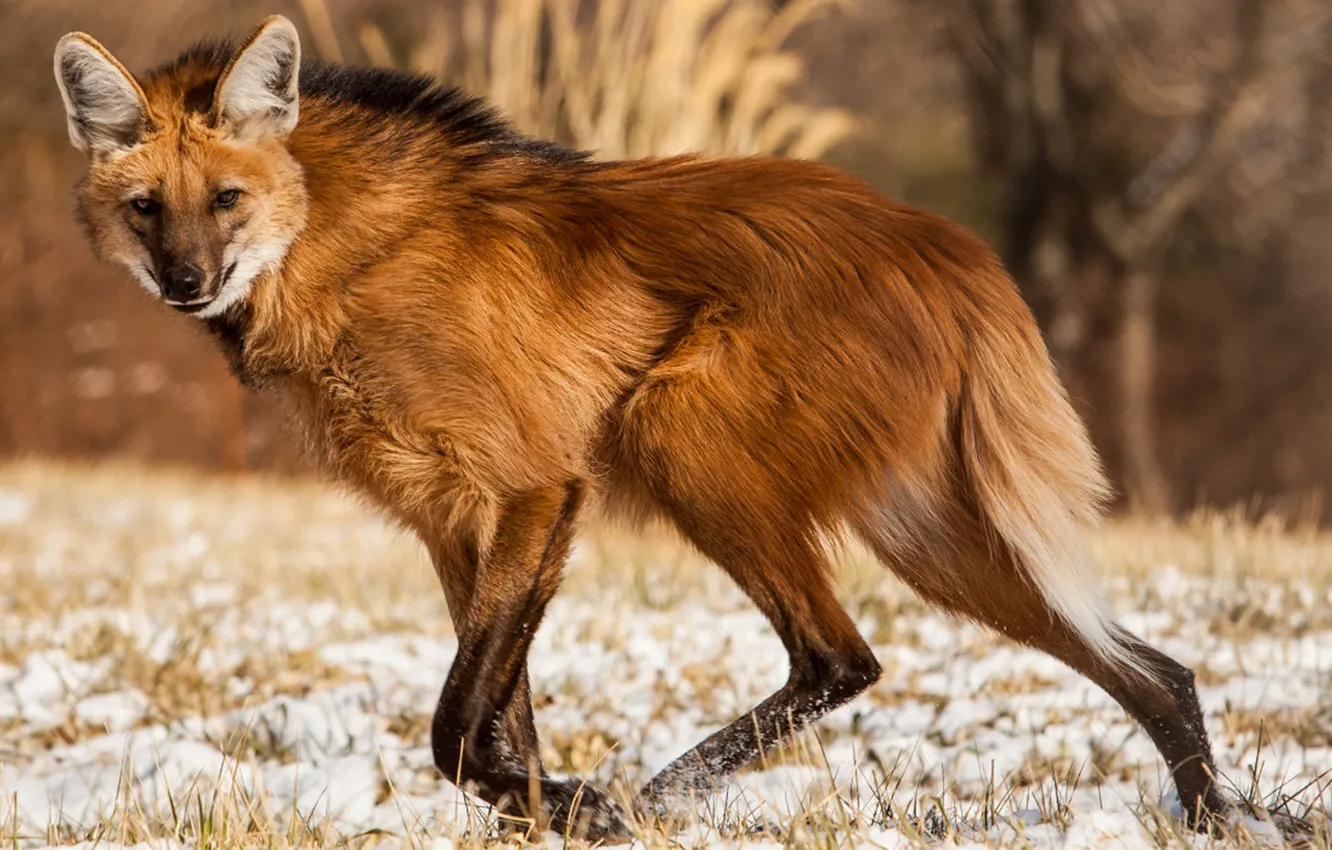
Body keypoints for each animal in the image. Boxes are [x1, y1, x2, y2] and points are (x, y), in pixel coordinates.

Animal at [53, 14, 1230, 841]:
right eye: (148, 207)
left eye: (228, 198)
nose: (187, 283)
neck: (338, 252)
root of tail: (952, 246)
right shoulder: (453, 519)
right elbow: (500, 722)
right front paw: (551, 811)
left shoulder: (537, 484)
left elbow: (458, 728)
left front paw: (591, 807)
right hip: (929, 533)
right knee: (1153, 669)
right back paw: (1223, 819)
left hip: (683, 436)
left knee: (840, 658)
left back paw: (661, 795)